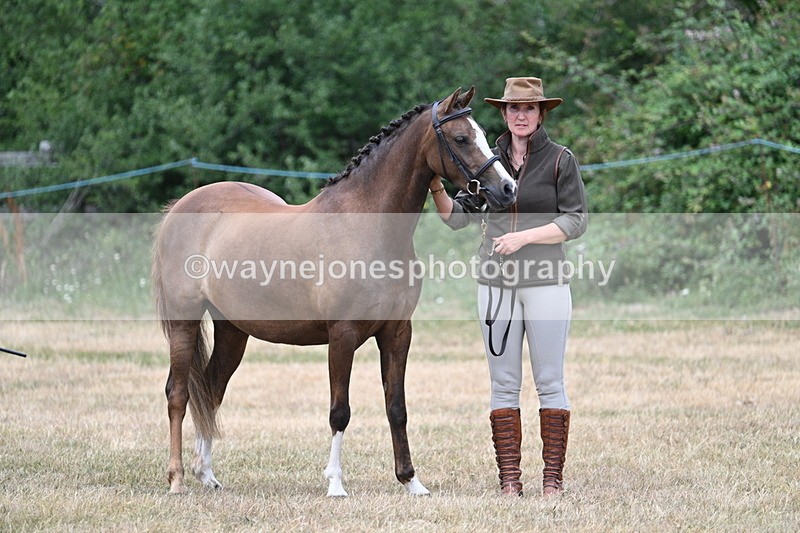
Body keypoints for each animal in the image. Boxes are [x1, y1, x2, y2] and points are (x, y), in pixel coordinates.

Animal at [151, 87, 516, 496]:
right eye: (462, 138)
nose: (507, 189)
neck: (368, 226)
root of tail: (179, 208)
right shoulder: (342, 335)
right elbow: (340, 411)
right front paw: (336, 484)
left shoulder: (397, 333)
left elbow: (397, 408)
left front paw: (411, 481)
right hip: (184, 321)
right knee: (178, 394)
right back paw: (177, 479)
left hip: (233, 331)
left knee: (211, 390)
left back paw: (207, 474)